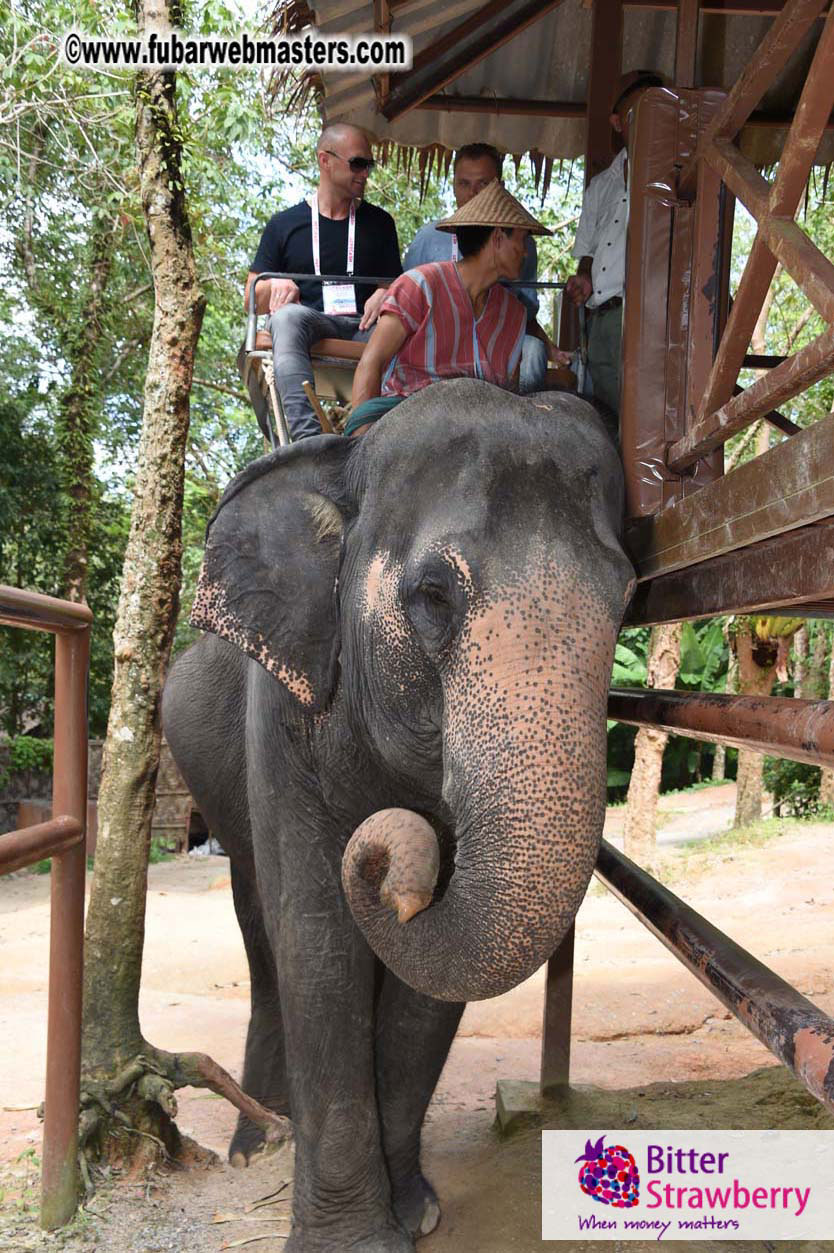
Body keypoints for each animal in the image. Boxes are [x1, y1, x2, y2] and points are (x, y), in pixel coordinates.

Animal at [162, 378, 634, 1252]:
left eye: (626, 597)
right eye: (432, 595)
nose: (386, 861)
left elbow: (433, 981)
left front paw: (413, 1212)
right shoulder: (282, 710)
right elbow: (317, 938)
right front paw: (353, 1240)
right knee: (261, 932)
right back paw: (256, 1144)